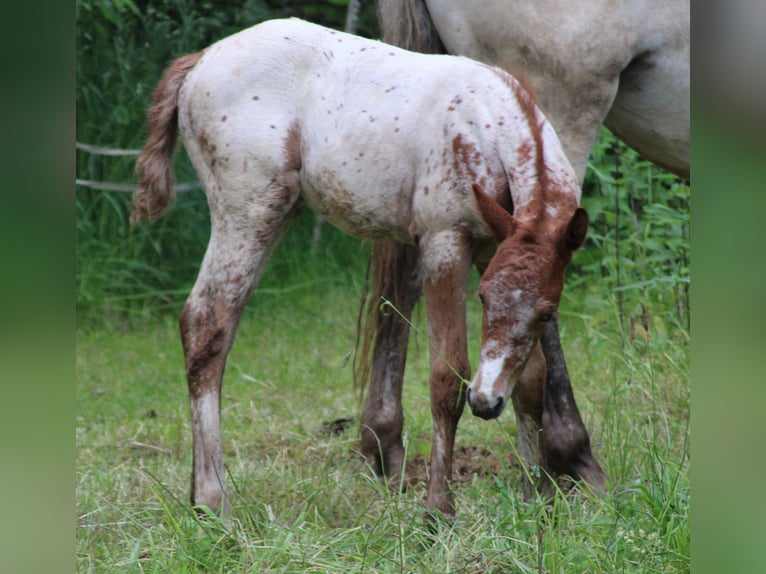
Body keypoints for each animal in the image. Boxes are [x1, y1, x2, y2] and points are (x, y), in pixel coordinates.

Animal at [134, 18, 588, 516]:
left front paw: (538, 501)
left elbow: (533, 379)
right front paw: (438, 510)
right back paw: (214, 500)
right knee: (205, 321)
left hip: (275, 212)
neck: (486, 126)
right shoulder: (444, 242)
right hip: (248, 208)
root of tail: (201, 59)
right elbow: (446, 377)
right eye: (482, 298)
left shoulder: (494, 250)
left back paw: (198, 495)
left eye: (547, 313)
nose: (486, 402)